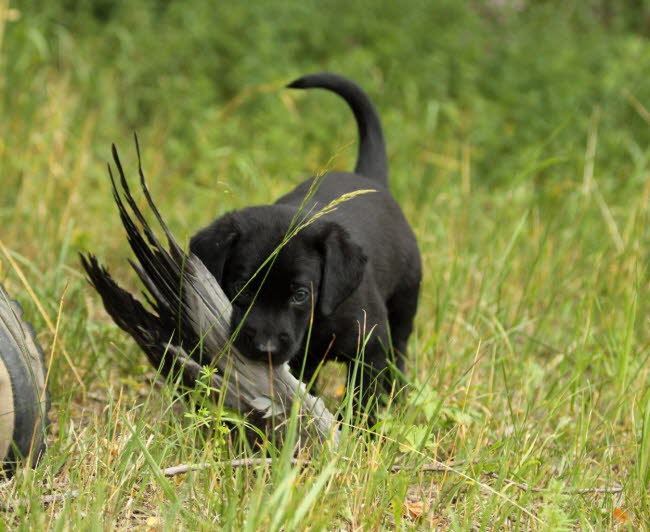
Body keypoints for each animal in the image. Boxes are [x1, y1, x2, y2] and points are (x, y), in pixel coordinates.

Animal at [189, 71, 420, 416]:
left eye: (300, 295)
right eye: (241, 287)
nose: (266, 348)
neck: (318, 323)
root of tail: (371, 180)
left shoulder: (371, 346)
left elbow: (363, 400)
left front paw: (362, 427)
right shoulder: (301, 361)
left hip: (404, 305)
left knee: (400, 353)